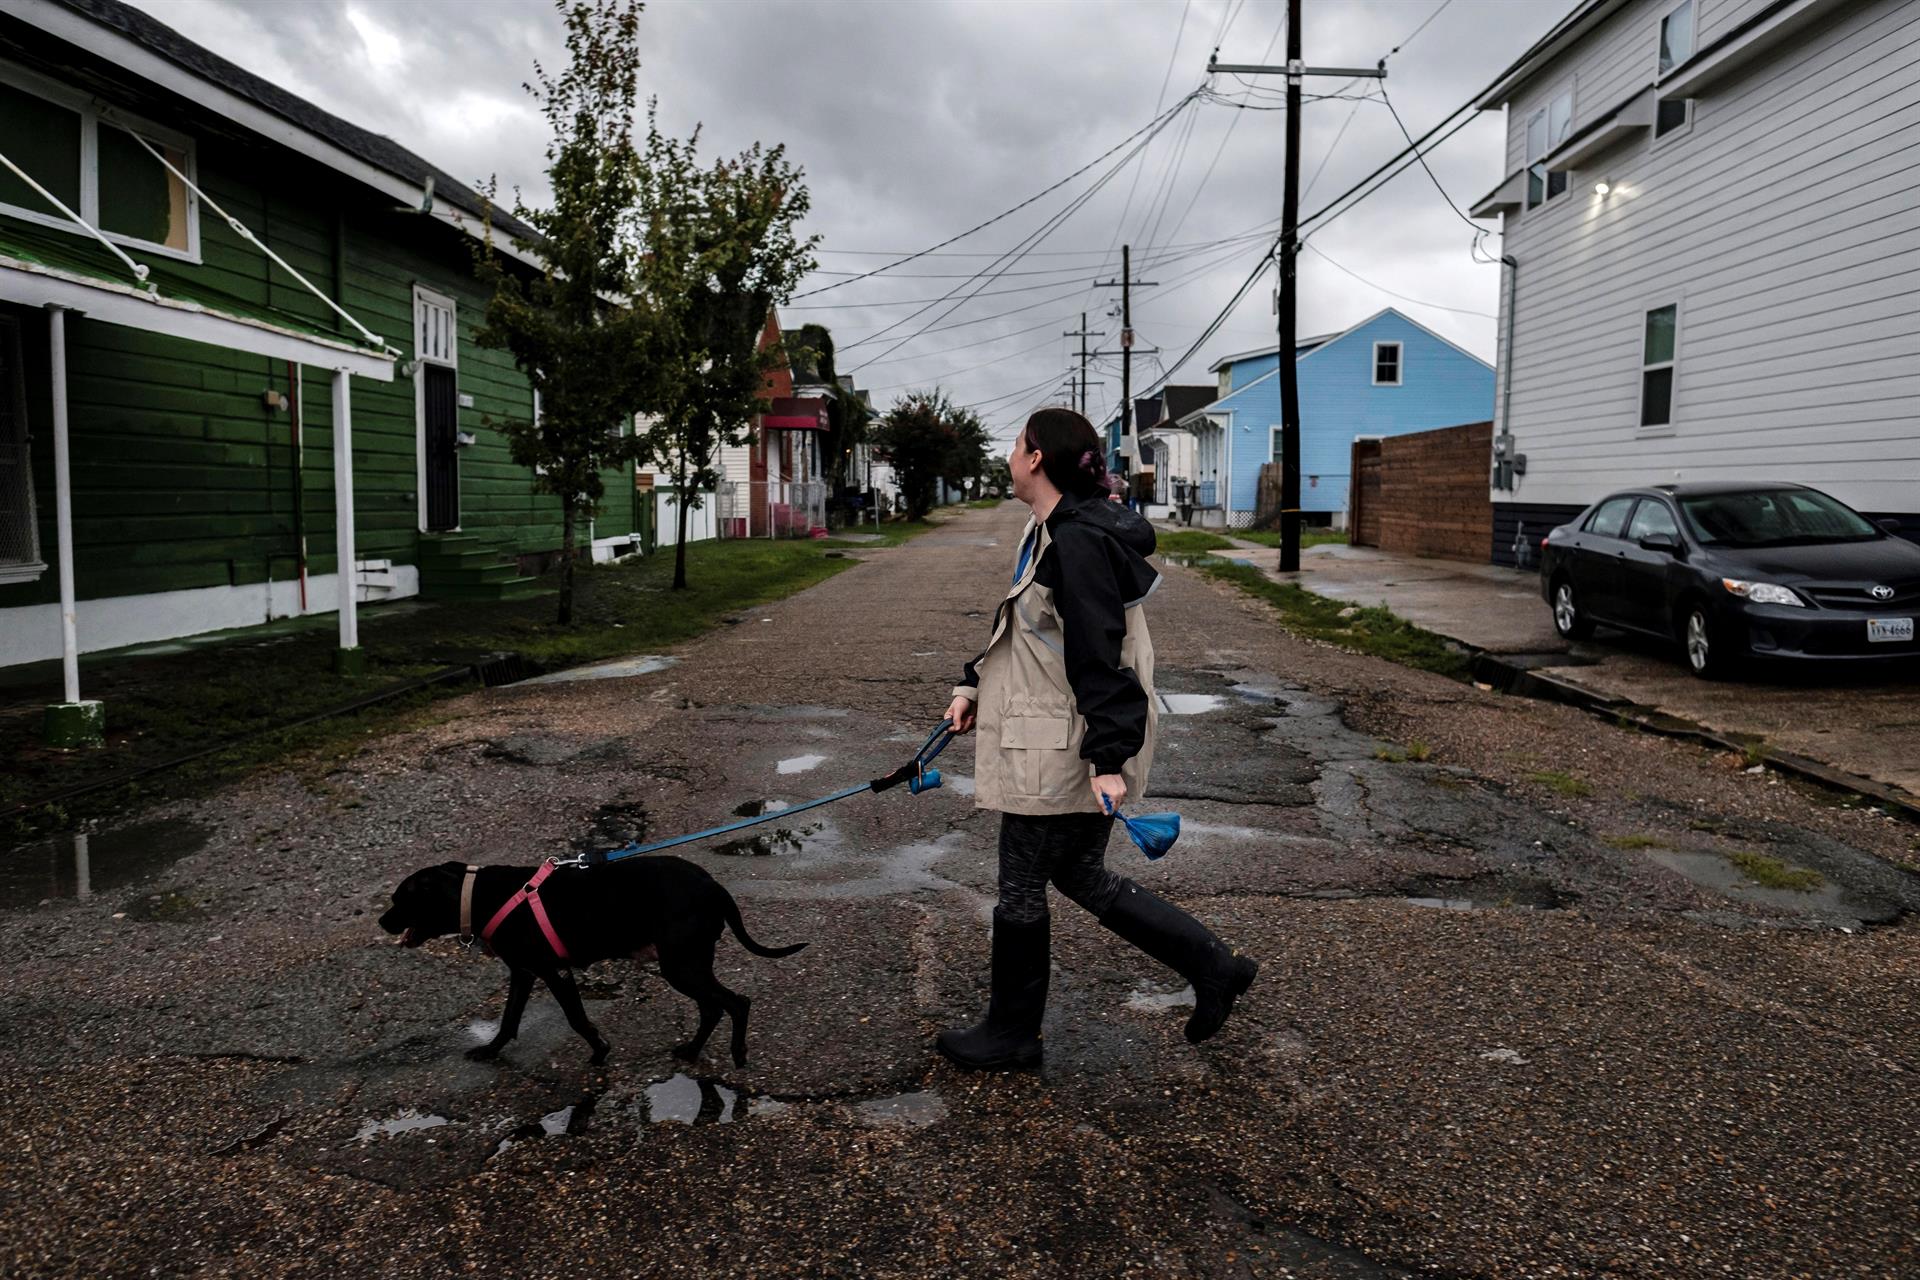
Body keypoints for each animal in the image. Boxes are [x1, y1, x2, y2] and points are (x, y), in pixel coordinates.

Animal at [378, 859, 806, 1074]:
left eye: (400, 900)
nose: (381, 922)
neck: (477, 895)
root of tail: (715, 887)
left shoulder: (554, 972)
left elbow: (576, 1018)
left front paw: (600, 1050)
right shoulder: (524, 972)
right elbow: (510, 1018)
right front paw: (491, 1050)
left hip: (681, 965)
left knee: (735, 1003)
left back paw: (737, 1053)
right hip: (688, 964)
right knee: (712, 1008)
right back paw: (691, 1050)